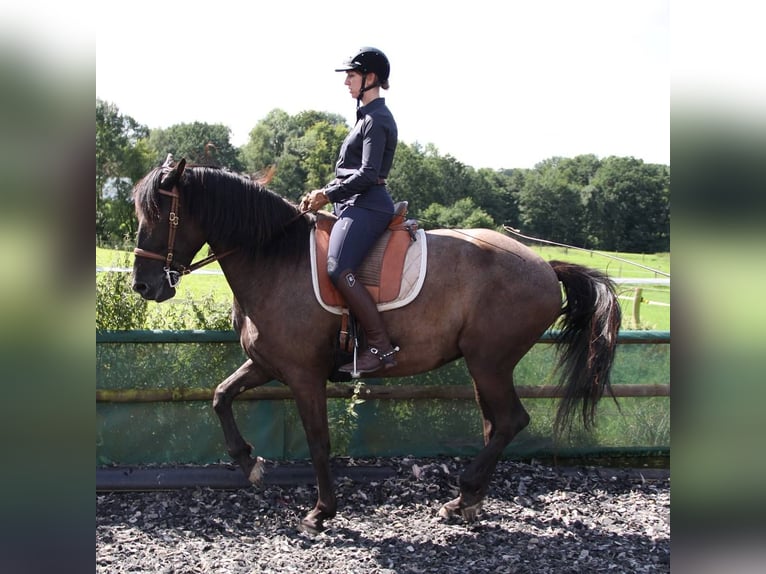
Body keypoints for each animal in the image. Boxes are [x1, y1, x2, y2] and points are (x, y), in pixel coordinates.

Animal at [131, 157, 621, 534]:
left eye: (159, 215)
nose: (143, 286)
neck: (275, 257)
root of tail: (545, 266)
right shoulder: (267, 364)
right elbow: (220, 396)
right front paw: (249, 463)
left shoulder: (304, 376)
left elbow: (318, 441)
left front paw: (321, 513)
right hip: (484, 366)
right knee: (495, 424)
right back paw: (466, 503)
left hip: (490, 361)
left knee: (510, 421)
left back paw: (463, 493)